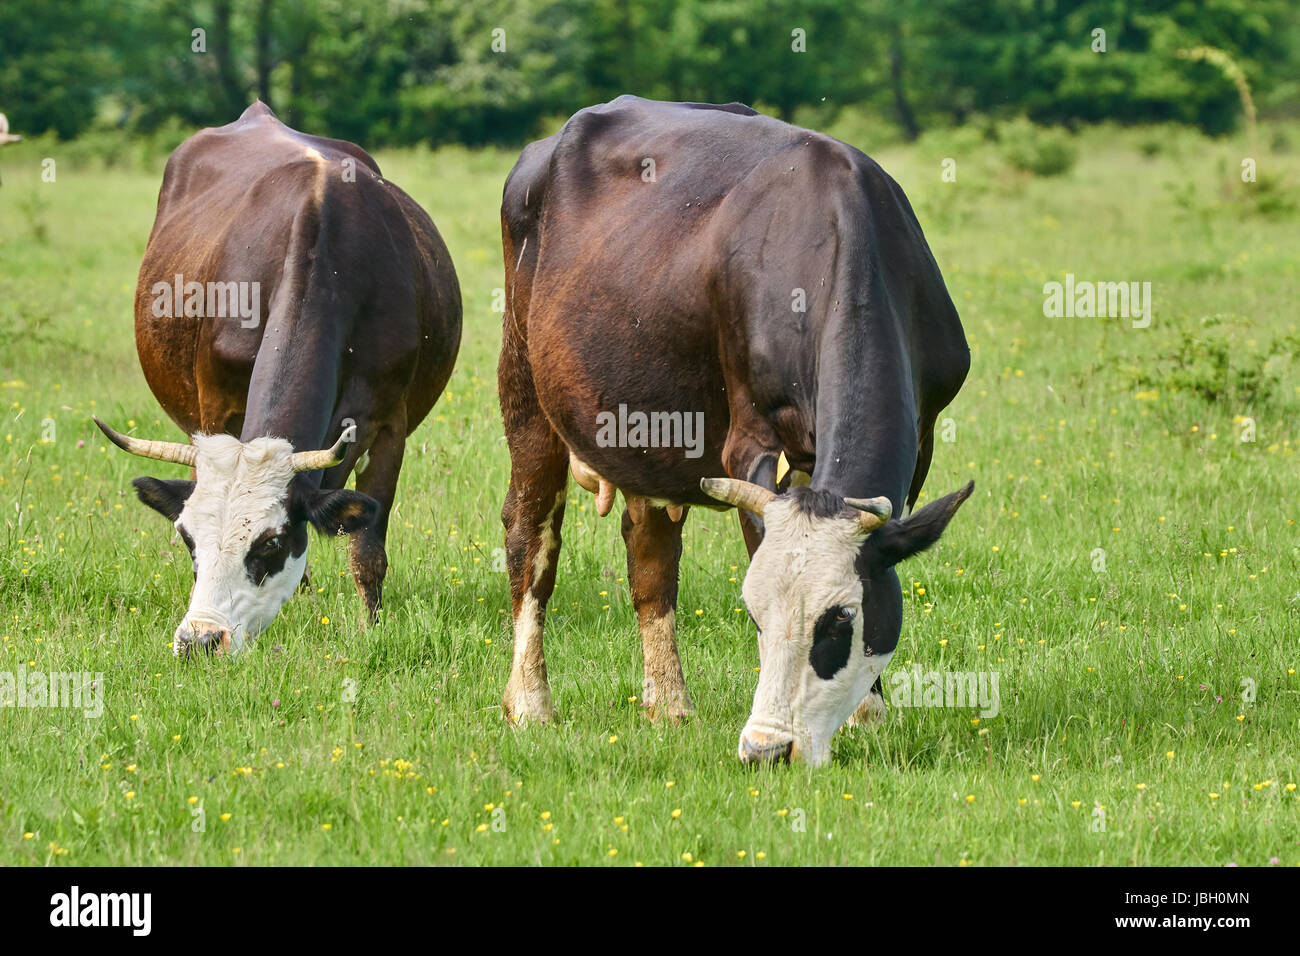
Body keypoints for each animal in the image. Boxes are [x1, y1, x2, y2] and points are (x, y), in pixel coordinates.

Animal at [97, 101, 461, 655]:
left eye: (268, 544)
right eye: (187, 539)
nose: (200, 640)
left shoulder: (388, 425)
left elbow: (368, 552)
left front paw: (369, 629)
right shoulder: (216, 406)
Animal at [498, 96, 972, 765]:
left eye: (841, 619)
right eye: (754, 613)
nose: (765, 750)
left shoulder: (923, 434)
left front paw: (870, 714)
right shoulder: (751, 439)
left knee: (650, 557)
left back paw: (669, 705)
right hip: (523, 380)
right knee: (530, 535)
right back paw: (531, 702)